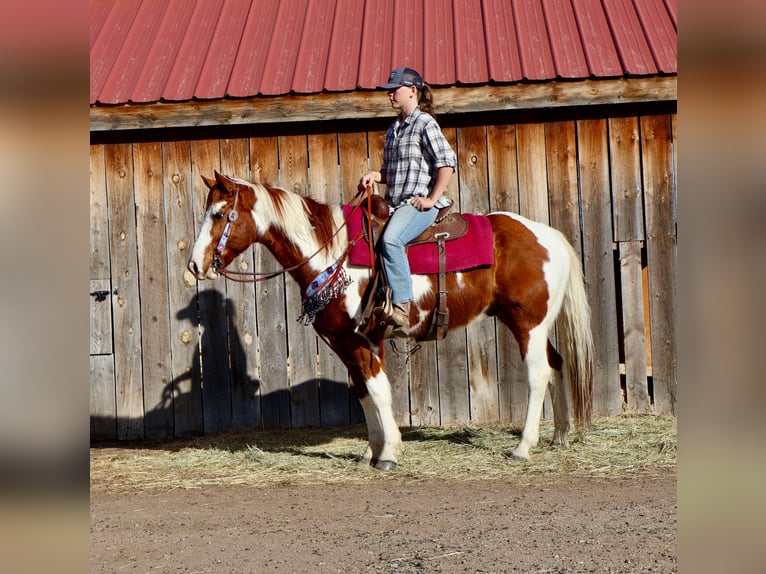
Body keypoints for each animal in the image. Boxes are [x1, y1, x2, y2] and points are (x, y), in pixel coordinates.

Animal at [187, 172, 594, 470]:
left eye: (219, 214)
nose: (194, 265)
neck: (333, 256)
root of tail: (548, 236)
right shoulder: (346, 343)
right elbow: (364, 393)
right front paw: (371, 451)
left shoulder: (361, 339)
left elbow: (379, 391)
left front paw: (389, 453)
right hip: (528, 323)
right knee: (557, 365)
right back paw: (560, 435)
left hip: (528, 323)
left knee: (539, 373)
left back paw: (523, 447)